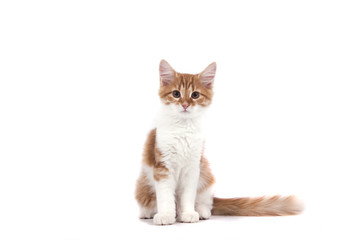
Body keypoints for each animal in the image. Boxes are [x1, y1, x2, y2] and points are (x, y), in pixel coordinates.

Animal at [135, 60, 304, 225]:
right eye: (176, 94)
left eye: (195, 95)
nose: (185, 104)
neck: (183, 128)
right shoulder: (163, 166)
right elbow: (166, 197)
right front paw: (165, 215)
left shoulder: (193, 167)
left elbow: (188, 195)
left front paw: (188, 213)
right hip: (144, 184)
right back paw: (149, 213)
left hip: (206, 175)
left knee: (206, 202)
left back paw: (200, 212)